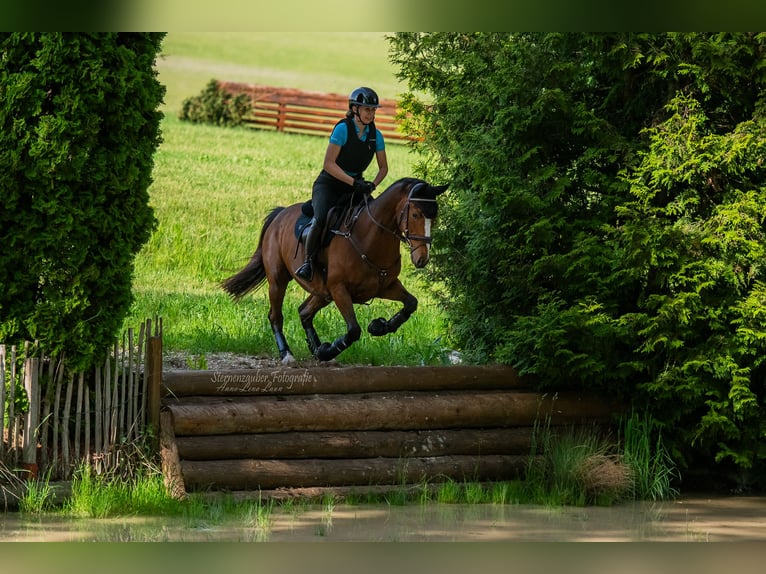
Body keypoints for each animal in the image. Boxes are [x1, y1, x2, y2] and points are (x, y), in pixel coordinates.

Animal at [221, 177, 448, 363]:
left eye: (435, 218)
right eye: (416, 214)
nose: (422, 258)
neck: (371, 237)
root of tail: (279, 214)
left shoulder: (386, 286)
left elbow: (411, 303)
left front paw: (379, 326)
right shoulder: (339, 289)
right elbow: (354, 330)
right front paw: (330, 349)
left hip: (323, 292)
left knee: (304, 312)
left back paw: (317, 350)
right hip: (279, 280)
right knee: (276, 315)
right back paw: (288, 354)